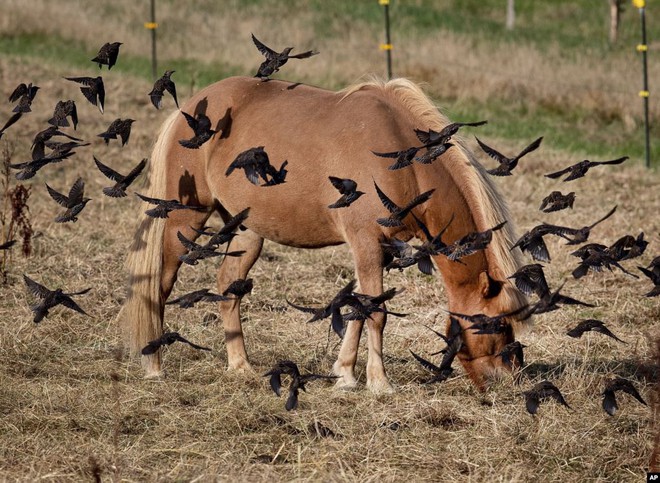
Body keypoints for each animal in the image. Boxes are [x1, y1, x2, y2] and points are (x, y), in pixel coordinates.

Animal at [118, 74, 528, 394]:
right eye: (499, 324)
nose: (508, 381)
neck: (404, 160)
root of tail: (186, 109)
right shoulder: (366, 244)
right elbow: (375, 312)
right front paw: (379, 383)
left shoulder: (378, 250)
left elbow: (358, 307)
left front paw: (344, 374)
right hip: (184, 220)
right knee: (160, 284)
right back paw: (154, 366)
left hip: (247, 231)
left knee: (228, 287)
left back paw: (240, 365)